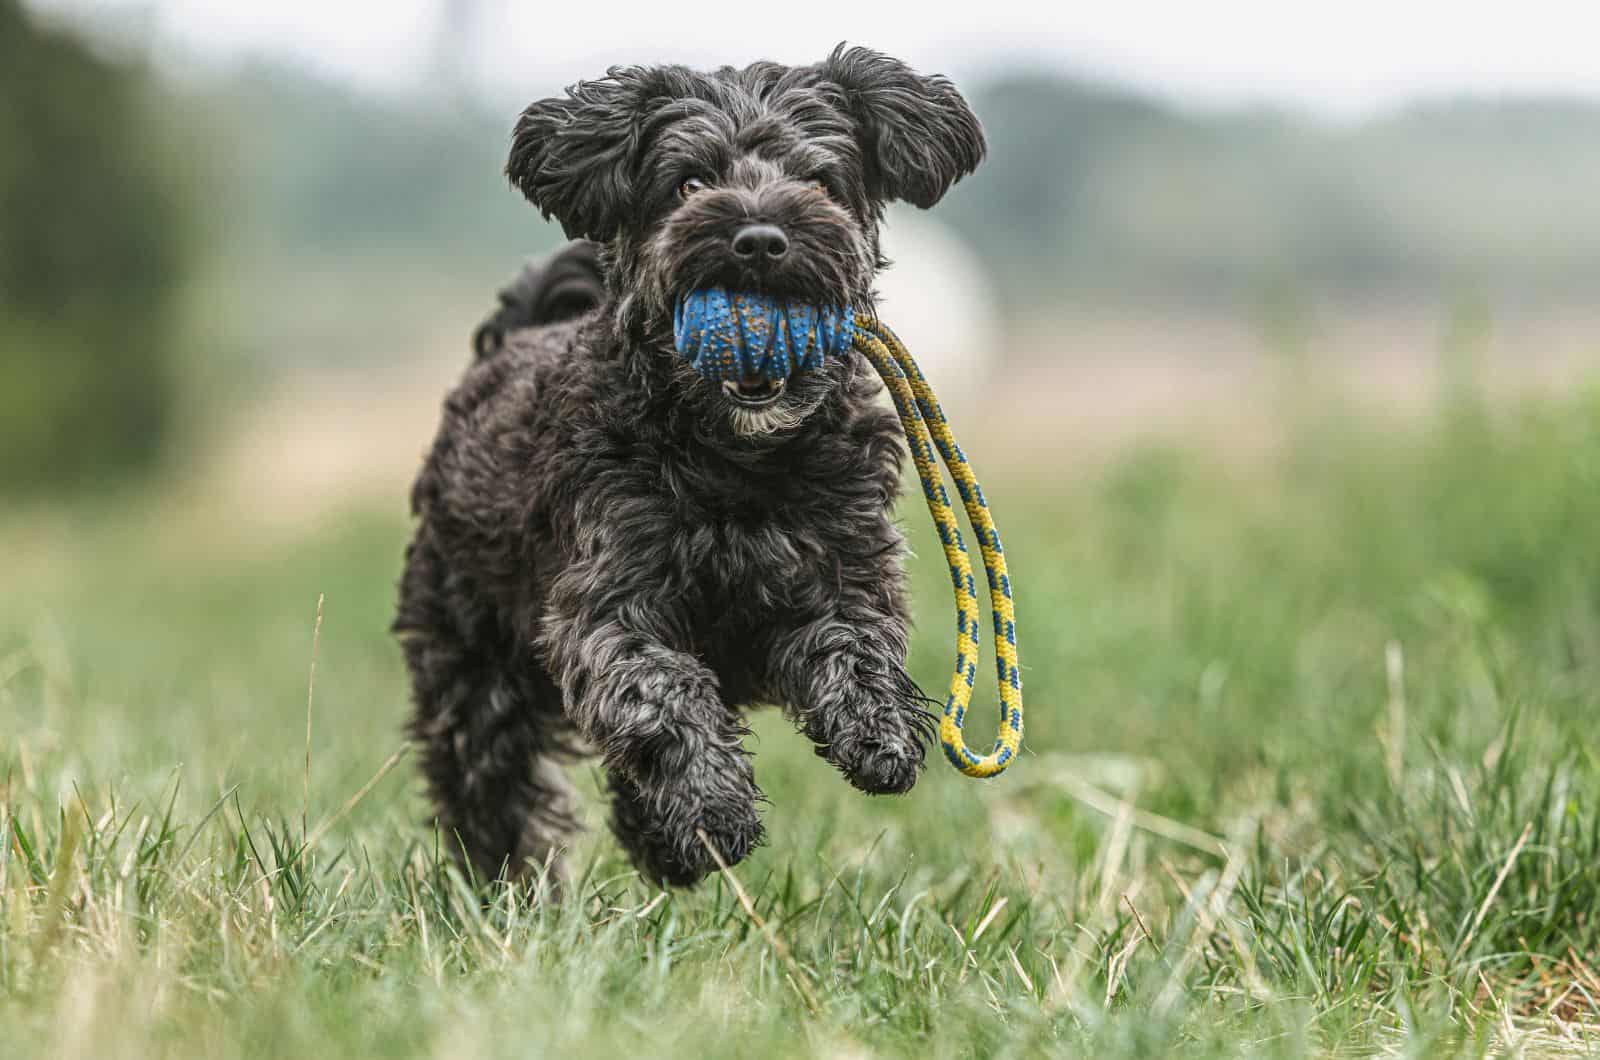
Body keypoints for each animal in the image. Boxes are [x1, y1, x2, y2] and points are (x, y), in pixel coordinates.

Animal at [393, 43, 979, 890]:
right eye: (690, 183)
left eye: (819, 180)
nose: (760, 238)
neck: (738, 461)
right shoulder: (608, 604)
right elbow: (662, 694)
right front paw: (714, 810)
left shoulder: (843, 565)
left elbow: (856, 643)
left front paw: (881, 733)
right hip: (472, 658)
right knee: (490, 779)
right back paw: (512, 888)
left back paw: (660, 845)